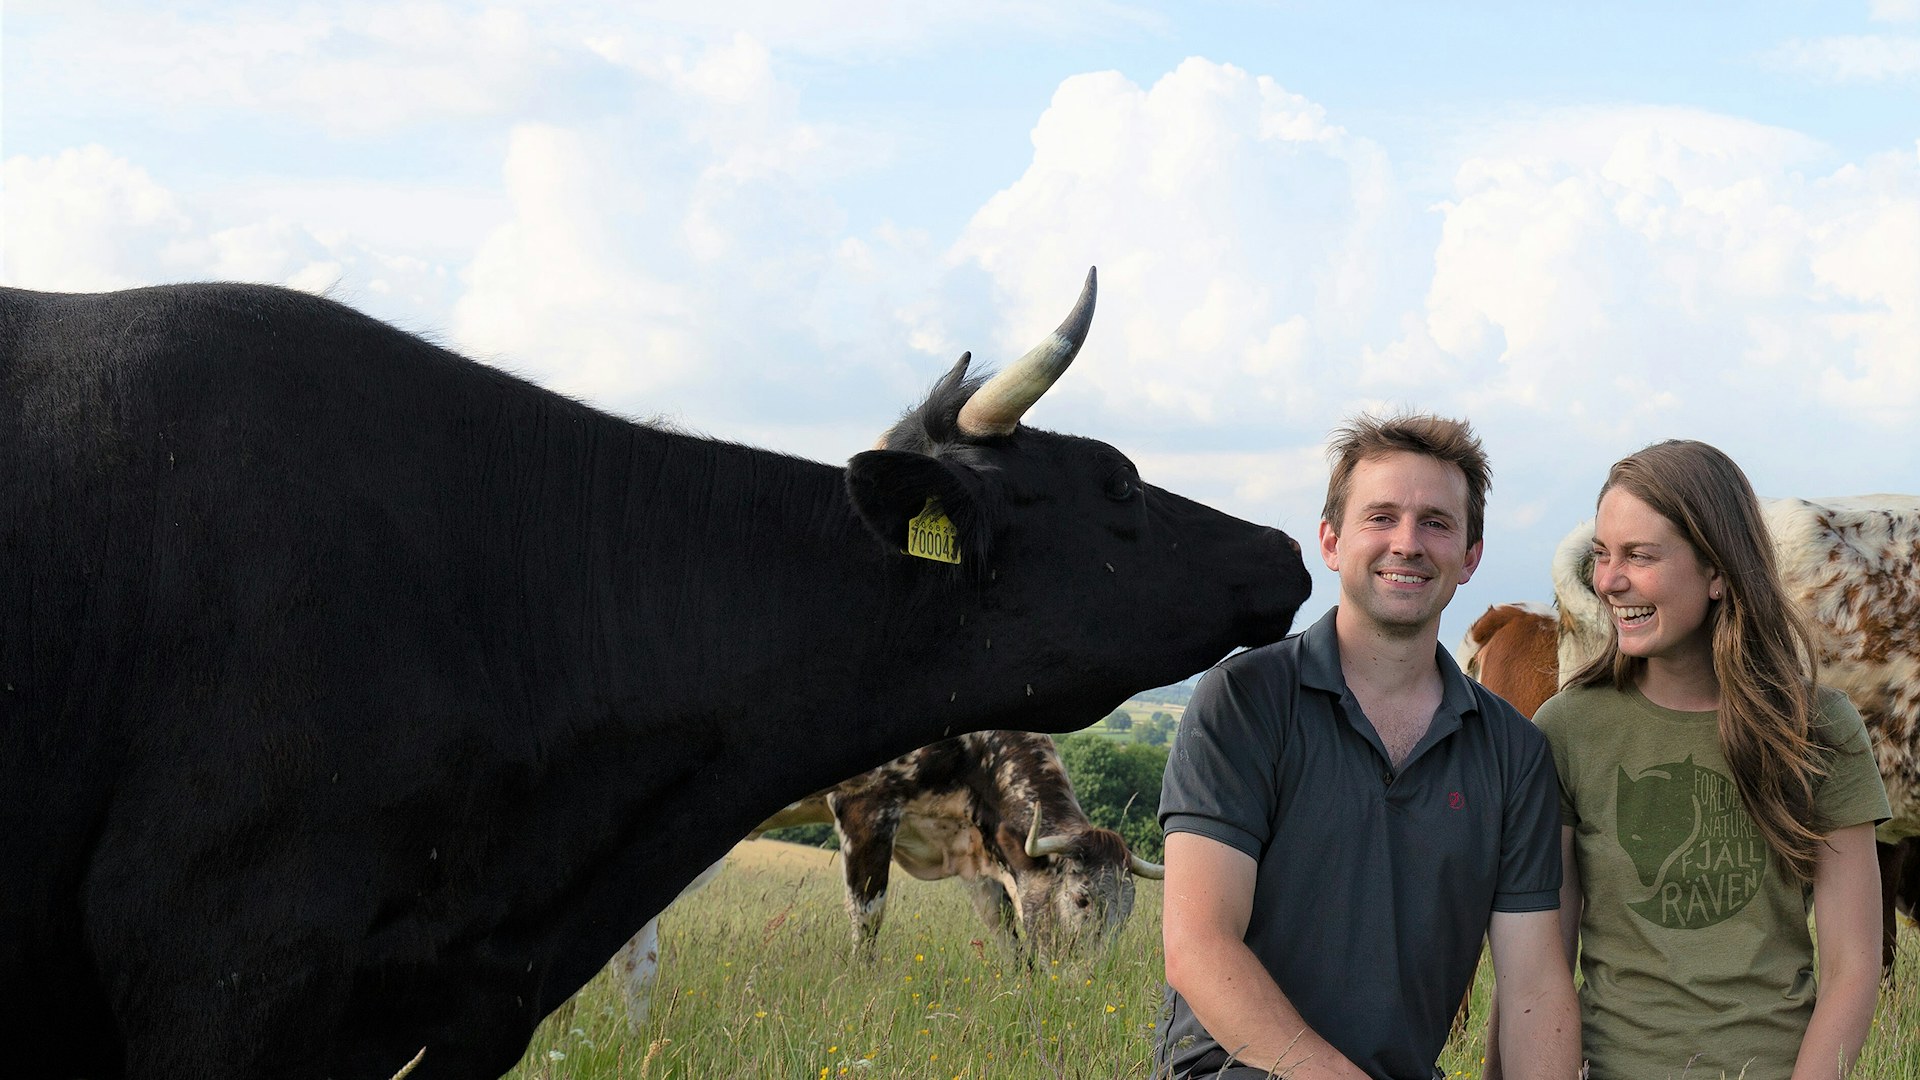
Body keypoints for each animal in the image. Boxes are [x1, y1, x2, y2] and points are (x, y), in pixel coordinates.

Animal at [610, 726, 1152, 1022]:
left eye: (1129, 912)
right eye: (1082, 899)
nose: (1089, 982)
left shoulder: (971, 849)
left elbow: (1007, 933)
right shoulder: (864, 808)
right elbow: (868, 914)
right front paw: (859, 984)